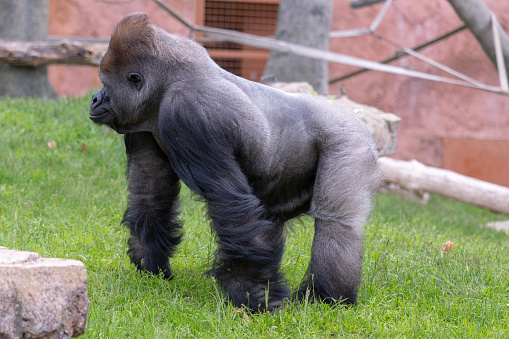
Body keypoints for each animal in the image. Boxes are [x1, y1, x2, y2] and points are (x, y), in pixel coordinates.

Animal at [89, 11, 380, 312]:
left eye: (106, 83)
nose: (95, 98)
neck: (169, 83)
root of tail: (361, 123)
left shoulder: (190, 110)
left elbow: (229, 204)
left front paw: (252, 293)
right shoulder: (142, 123)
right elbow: (150, 190)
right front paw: (150, 262)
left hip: (351, 142)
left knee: (337, 223)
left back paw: (326, 297)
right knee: (273, 218)